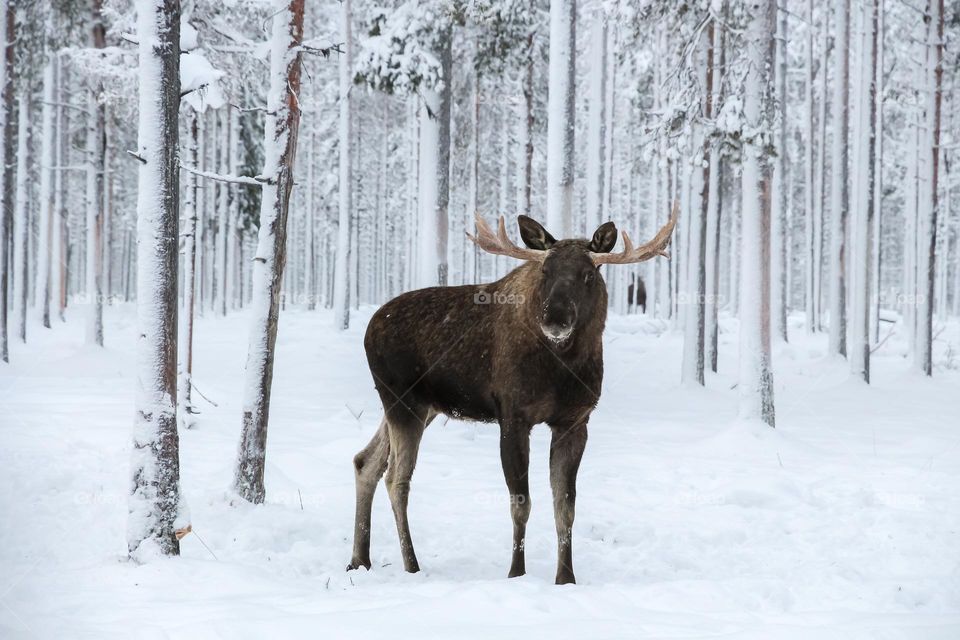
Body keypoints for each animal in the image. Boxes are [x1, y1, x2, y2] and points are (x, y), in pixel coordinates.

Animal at [347, 204, 678, 584]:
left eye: (588, 274)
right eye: (545, 270)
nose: (555, 318)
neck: (563, 366)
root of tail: (369, 329)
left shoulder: (575, 421)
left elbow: (565, 506)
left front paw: (566, 578)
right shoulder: (513, 415)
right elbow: (521, 503)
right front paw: (516, 573)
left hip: (420, 407)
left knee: (365, 461)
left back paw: (359, 559)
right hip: (404, 402)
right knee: (396, 479)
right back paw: (412, 565)